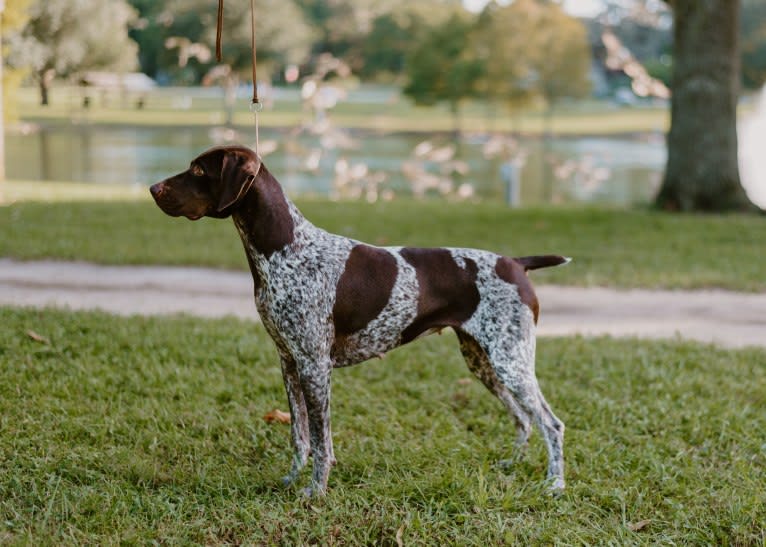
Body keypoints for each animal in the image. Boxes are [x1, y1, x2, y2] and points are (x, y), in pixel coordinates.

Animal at [152, 144, 568, 496]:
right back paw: (512, 464)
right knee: (523, 418)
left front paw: (316, 491)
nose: (153, 188)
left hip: (510, 361)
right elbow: (300, 436)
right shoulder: (289, 362)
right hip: (485, 362)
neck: (285, 248)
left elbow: (321, 441)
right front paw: (291, 481)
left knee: (550, 423)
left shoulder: (315, 366)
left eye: (198, 170)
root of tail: (514, 262)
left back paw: (555, 484)